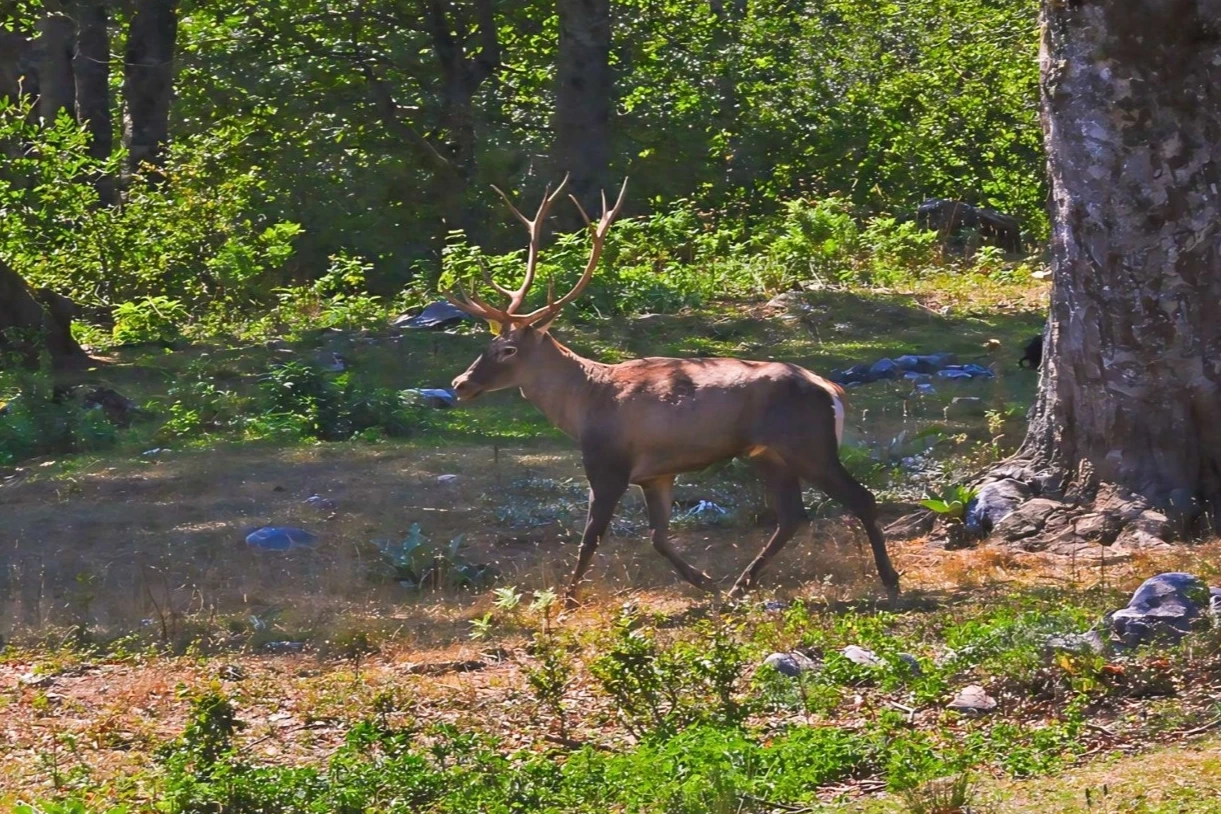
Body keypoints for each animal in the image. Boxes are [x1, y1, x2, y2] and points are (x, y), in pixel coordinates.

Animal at [446, 179, 898, 610]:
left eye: (508, 350)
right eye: (488, 343)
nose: (460, 384)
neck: (584, 405)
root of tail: (832, 390)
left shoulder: (607, 464)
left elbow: (591, 538)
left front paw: (567, 600)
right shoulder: (656, 473)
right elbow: (658, 536)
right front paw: (704, 580)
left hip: (809, 443)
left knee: (861, 498)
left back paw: (889, 581)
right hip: (769, 453)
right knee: (792, 516)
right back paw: (738, 585)